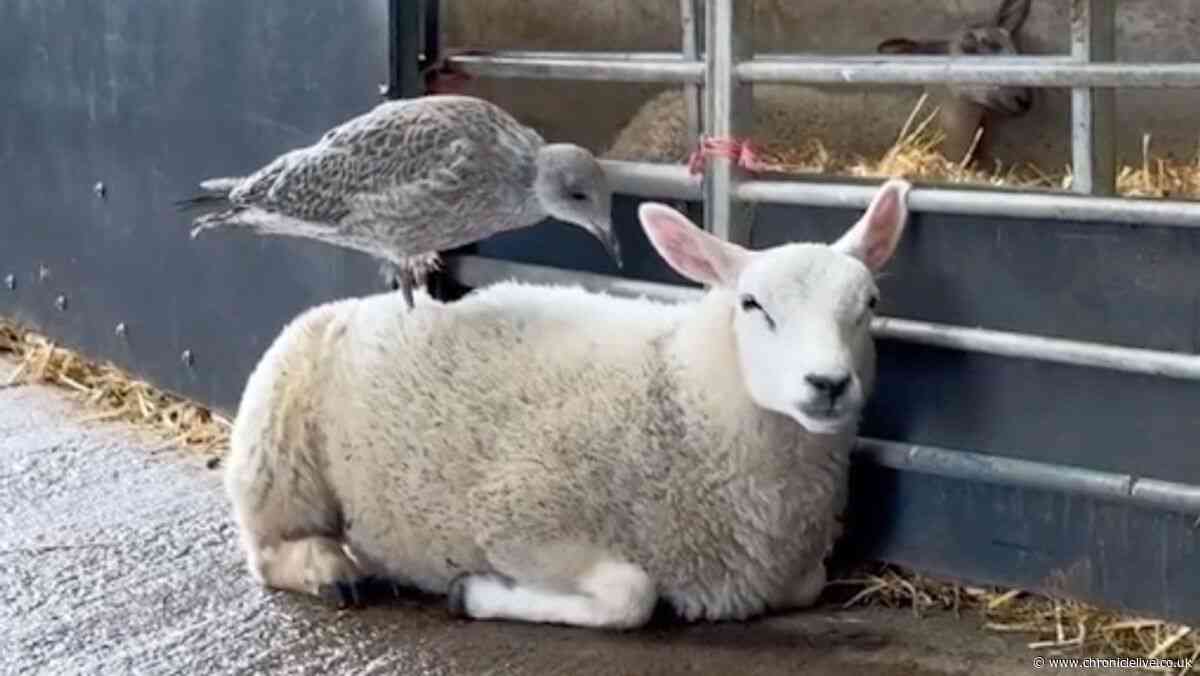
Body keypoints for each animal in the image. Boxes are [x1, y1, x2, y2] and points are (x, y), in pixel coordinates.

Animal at [223, 178, 912, 629]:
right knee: (269, 549)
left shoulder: (796, 572)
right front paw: (475, 593)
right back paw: (332, 569)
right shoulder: (517, 517)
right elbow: (630, 597)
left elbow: (810, 583)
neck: (682, 393)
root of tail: (359, 304)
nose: (827, 383)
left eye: (870, 304)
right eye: (753, 305)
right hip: (278, 455)